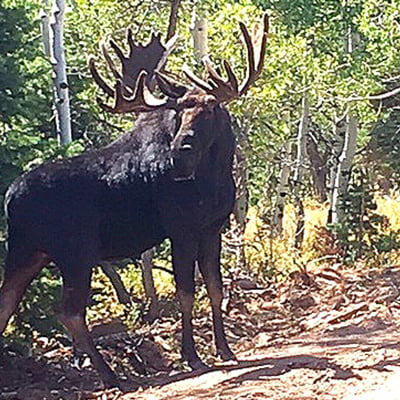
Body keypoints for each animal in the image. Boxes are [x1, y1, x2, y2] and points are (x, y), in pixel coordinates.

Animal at [0, 14, 268, 386]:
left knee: (6, 305)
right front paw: (192, 356)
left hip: (26, 253)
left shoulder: (212, 228)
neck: (213, 179)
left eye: (211, 108)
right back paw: (110, 375)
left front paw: (225, 349)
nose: (180, 151)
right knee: (69, 311)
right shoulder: (181, 230)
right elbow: (186, 292)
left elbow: (215, 288)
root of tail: (10, 197)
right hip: (75, 251)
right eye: (179, 113)